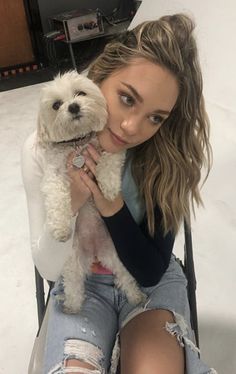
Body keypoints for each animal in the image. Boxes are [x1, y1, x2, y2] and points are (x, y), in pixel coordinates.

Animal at [37, 70, 146, 312]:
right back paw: (72, 307)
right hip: (73, 264)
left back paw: (136, 298)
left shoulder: (111, 149)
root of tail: (95, 251)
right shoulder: (53, 174)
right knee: (74, 286)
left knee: (126, 278)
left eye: (80, 93)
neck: (78, 144)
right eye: (56, 105)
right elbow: (57, 196)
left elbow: (109, 162)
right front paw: (60, 228)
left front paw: (109, 188)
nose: (73, 107)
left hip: (117, 256)